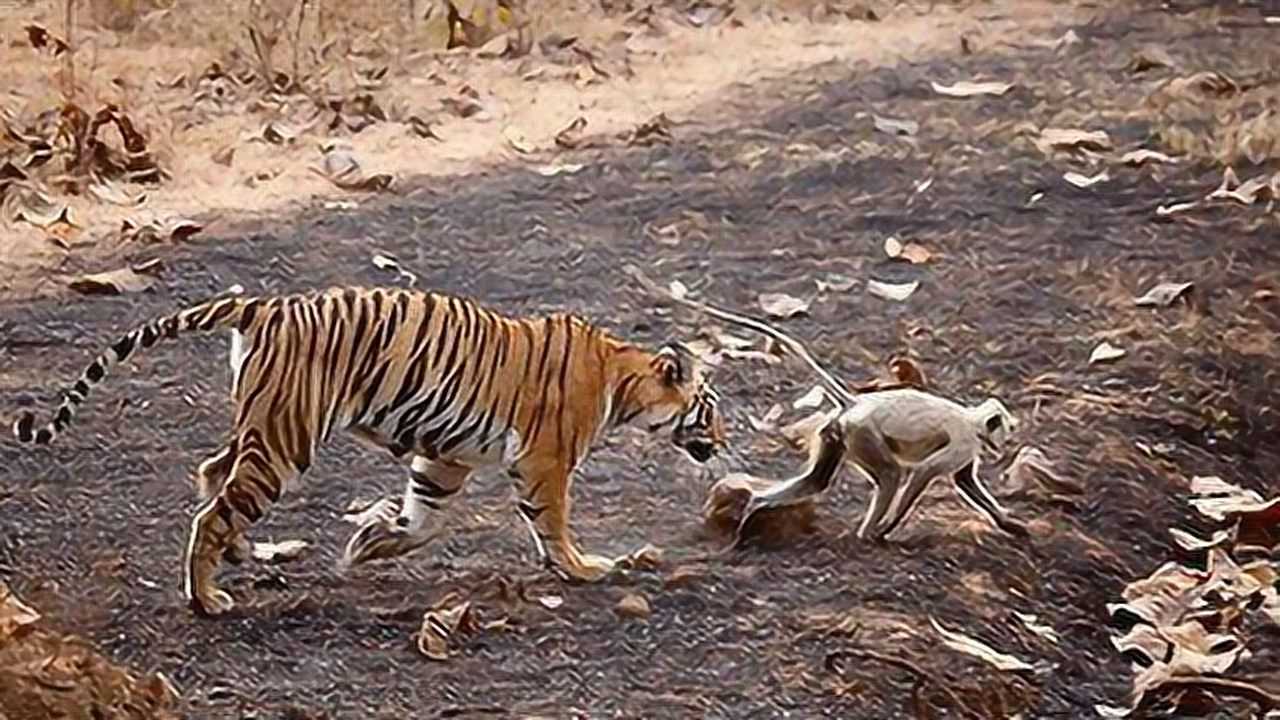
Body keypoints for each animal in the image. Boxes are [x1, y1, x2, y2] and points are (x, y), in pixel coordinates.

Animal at [13, 286, 726, 616]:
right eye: (711, 408)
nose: (722, 445)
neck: (621, 378)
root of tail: (264, 305)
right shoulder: (544, 463)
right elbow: (552, 523)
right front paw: (582, 568)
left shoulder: (446, 456)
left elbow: (422, 520)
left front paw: (368, 544)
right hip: (285, 438)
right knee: (213, 509)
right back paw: (206, 597)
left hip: (260, 429)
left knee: (211, 474)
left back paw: (239, 557)